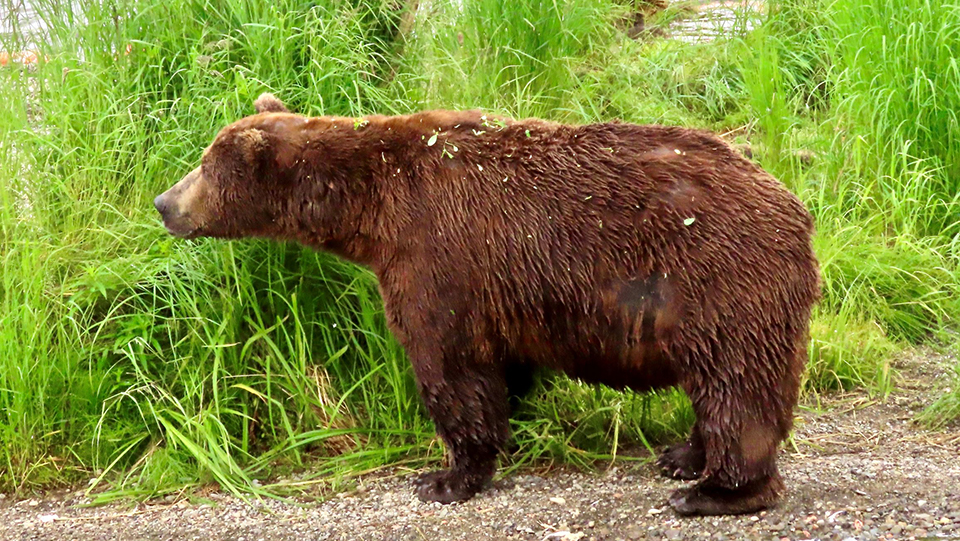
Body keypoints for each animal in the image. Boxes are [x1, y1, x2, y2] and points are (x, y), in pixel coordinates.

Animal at [154, 93, 820, 516]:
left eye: (205, 167)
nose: (163, 203)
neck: (368, 209)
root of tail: (796, 209)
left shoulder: (434, 254)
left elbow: (448, 364)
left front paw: (444, 477)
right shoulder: (498, 290)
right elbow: (502, 366)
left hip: (715, 280)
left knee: (738, 387)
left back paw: (715, 491)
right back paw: (681, 455)